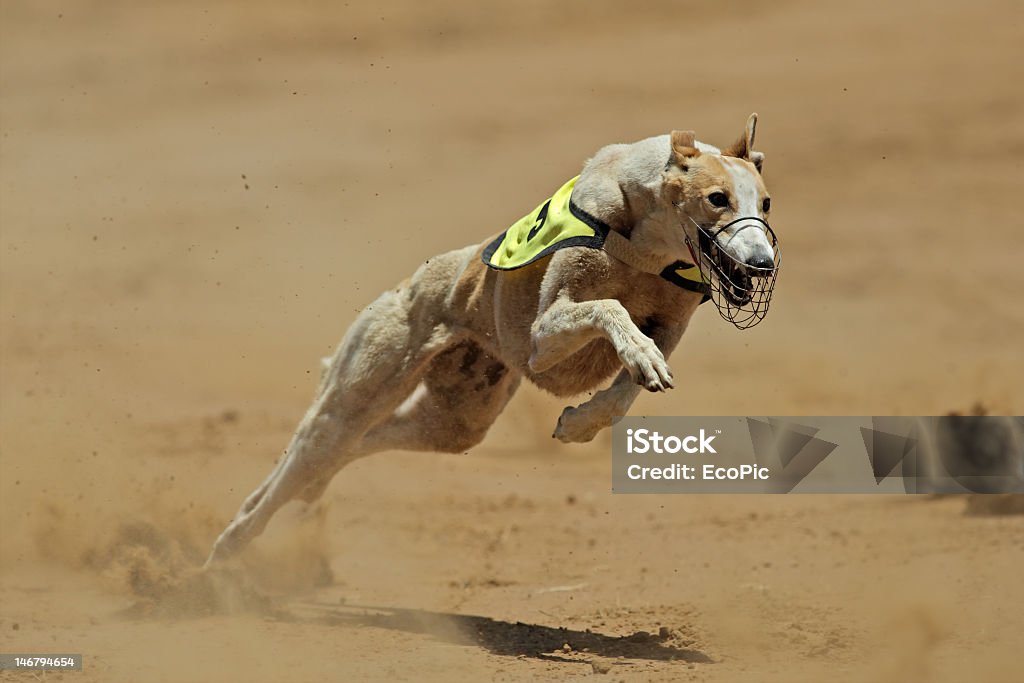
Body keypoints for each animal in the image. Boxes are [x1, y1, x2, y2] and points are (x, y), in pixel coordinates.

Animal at [203, 112, 778, 565]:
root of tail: (404, 287)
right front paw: (634, 354)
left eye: (766, 203)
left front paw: (581, 422)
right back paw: (225, 550)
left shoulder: (670, 326)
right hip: (352, 398)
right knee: (302, 459)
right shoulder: (542, 338)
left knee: (353, 449)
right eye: (717, 199)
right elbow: (610, 309)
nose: (763, 264)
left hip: (456, 421)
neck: (645, 239)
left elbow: (622, 395)